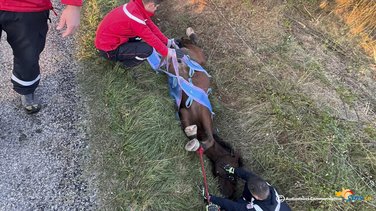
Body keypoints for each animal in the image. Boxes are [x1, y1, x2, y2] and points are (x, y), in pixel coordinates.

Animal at [168, 27, 244, 198]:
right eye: (232, 174)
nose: (229, 194)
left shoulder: (187, 113)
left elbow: (199, 136)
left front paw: (194, 140)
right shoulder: (195, 113)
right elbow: (206, 139)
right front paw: (194, 141)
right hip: (195, 55)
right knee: (190, 45)